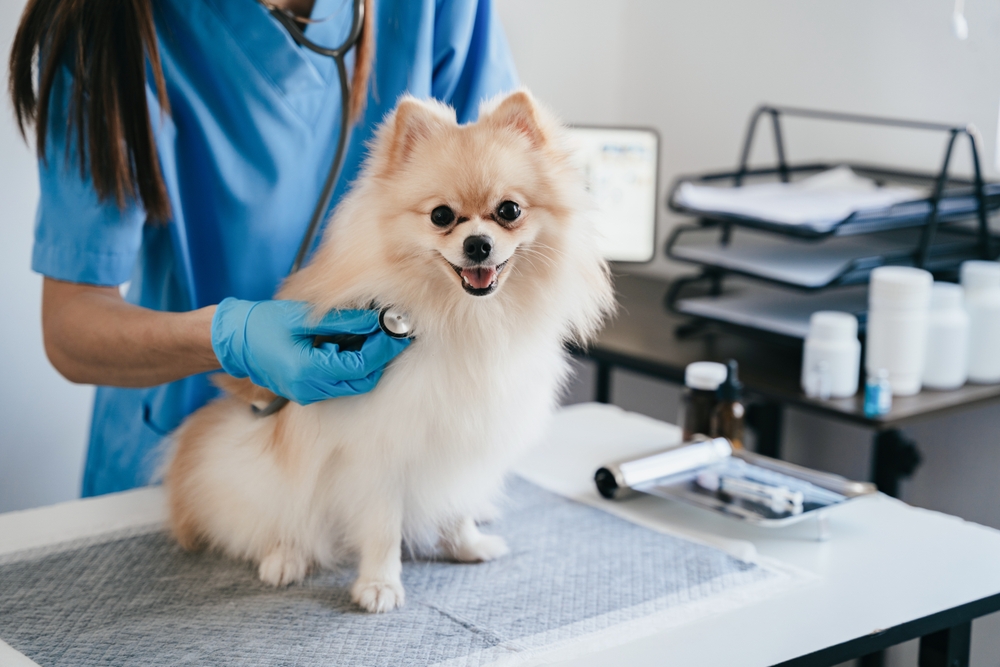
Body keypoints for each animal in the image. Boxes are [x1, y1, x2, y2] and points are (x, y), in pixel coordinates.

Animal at [163, 90, 612, 616]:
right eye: (441, 216)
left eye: (509, 210)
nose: (478, 244)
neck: (464, 320)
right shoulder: (377, 451)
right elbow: (381, 528)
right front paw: (379, 585)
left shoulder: (465, 440)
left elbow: (456, 503)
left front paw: (465, 545)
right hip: (254, 465)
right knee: (279, 515)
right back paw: (286, 556)